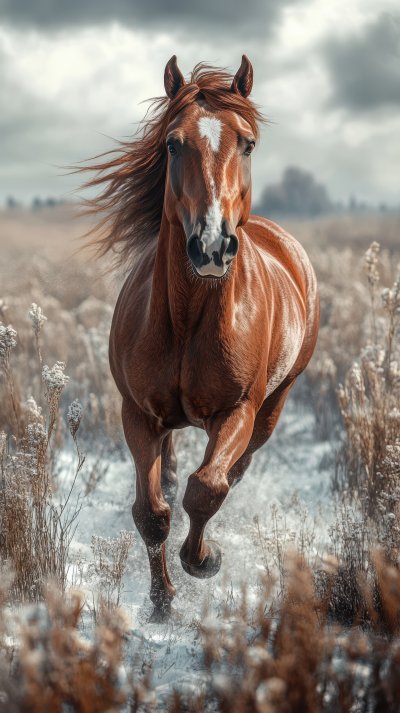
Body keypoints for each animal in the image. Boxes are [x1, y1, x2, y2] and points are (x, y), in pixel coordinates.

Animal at [81, 55, 319, 621]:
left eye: (248, 143)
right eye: (172, 144)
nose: (211, 245)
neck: (190, 319)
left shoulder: (237, 411)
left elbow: (206, 489)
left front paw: (204, 561)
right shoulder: (137, 413)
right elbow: (152, 511)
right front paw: (162, 600)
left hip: (274, 404)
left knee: (235, 468)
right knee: (170, 470)